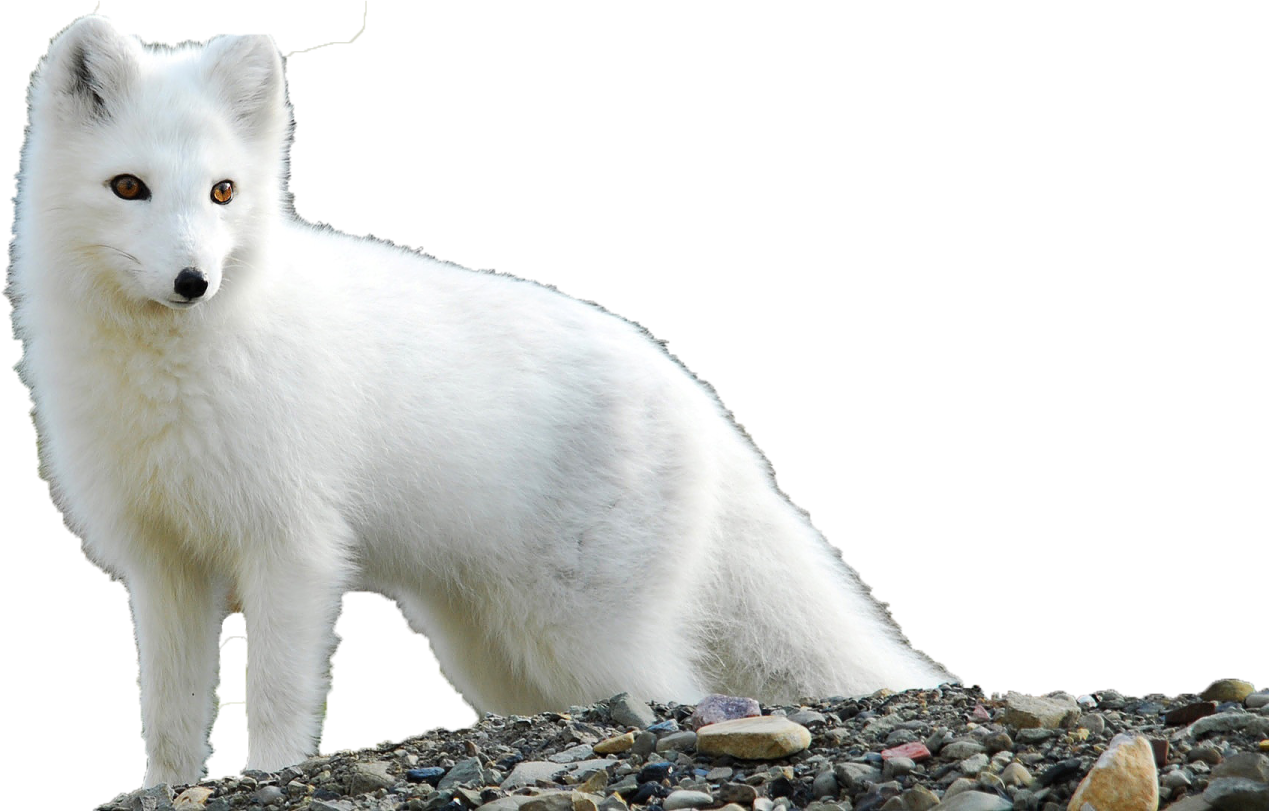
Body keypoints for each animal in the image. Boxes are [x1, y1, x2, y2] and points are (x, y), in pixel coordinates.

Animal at [6, 15, 956, 788]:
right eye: (128, 186)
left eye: (223, 191)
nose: (192, 281)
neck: (167, 375)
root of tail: (692, 388)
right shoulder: (163, 561)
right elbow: (168, 711)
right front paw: (161, 789)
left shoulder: (293, 546)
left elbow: (275, 693)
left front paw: (269, 774)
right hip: (488, 646)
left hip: (581, 635)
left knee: (677, 693)